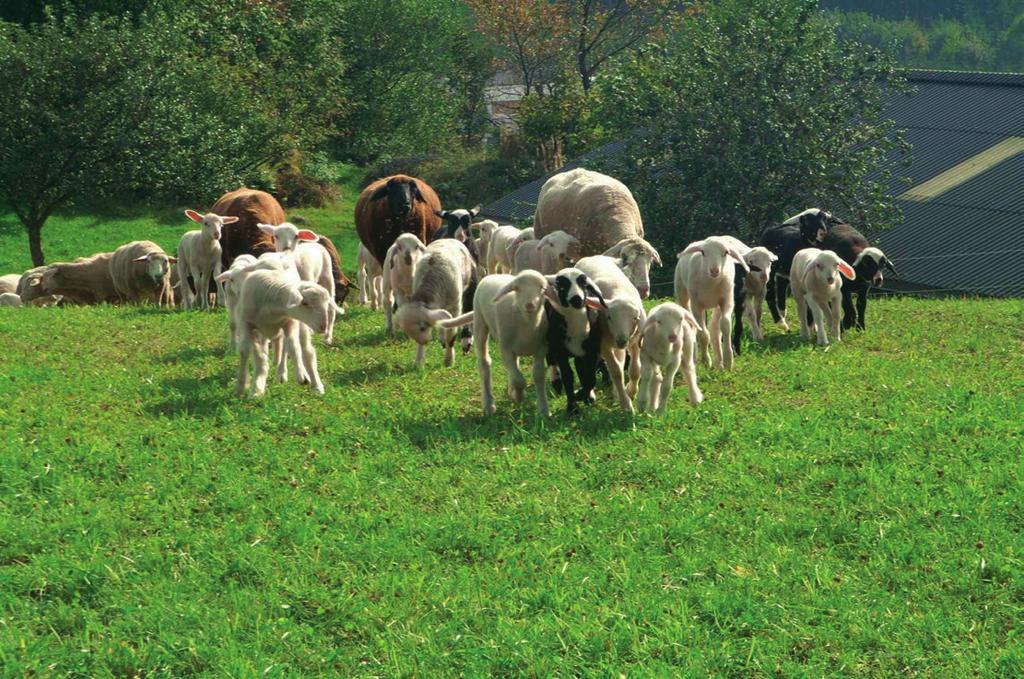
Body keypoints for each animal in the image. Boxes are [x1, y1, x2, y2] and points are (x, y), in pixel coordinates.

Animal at [231, 268, 331, 399]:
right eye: (305, 303)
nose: (324, 327)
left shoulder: (290, 322)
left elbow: (294, 347)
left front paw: (301, 375)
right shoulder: (246, 324)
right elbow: (247, 353)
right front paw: (244, 386)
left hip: (300, 327)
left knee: (305, 351)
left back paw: (315, 385)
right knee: (269, 353)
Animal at [391, 237, 475, 368]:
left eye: (422, 328)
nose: (425, 341)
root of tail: (449, 238)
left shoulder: (455, 307)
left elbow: (451, 335)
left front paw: (449, 361)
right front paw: (419, 362)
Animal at [438, 270, 552, 413]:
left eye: (542, 288)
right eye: (517, 288)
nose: (530, 305)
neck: (527, 321)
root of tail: (494, 274)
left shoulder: (541, 349)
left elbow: (538, 376)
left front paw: (544, 410)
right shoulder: (505, 350)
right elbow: (519, 380)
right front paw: (519, 396)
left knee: (514, 365)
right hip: (480, 322)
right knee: (485, 363)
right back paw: (489, 405)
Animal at [675, 235, 749, 372]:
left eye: (726, 252)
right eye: (703, 252)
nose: (714, 270)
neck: (711, 283)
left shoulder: (727, 301)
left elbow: (725, 326)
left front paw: (728, 361)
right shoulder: (697, 305)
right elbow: (703, 334)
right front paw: (705, 361)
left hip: (717, 304)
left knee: (714, 327)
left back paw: (719, 362)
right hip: (682, 293)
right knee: (692, 325)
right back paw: (696, 358)